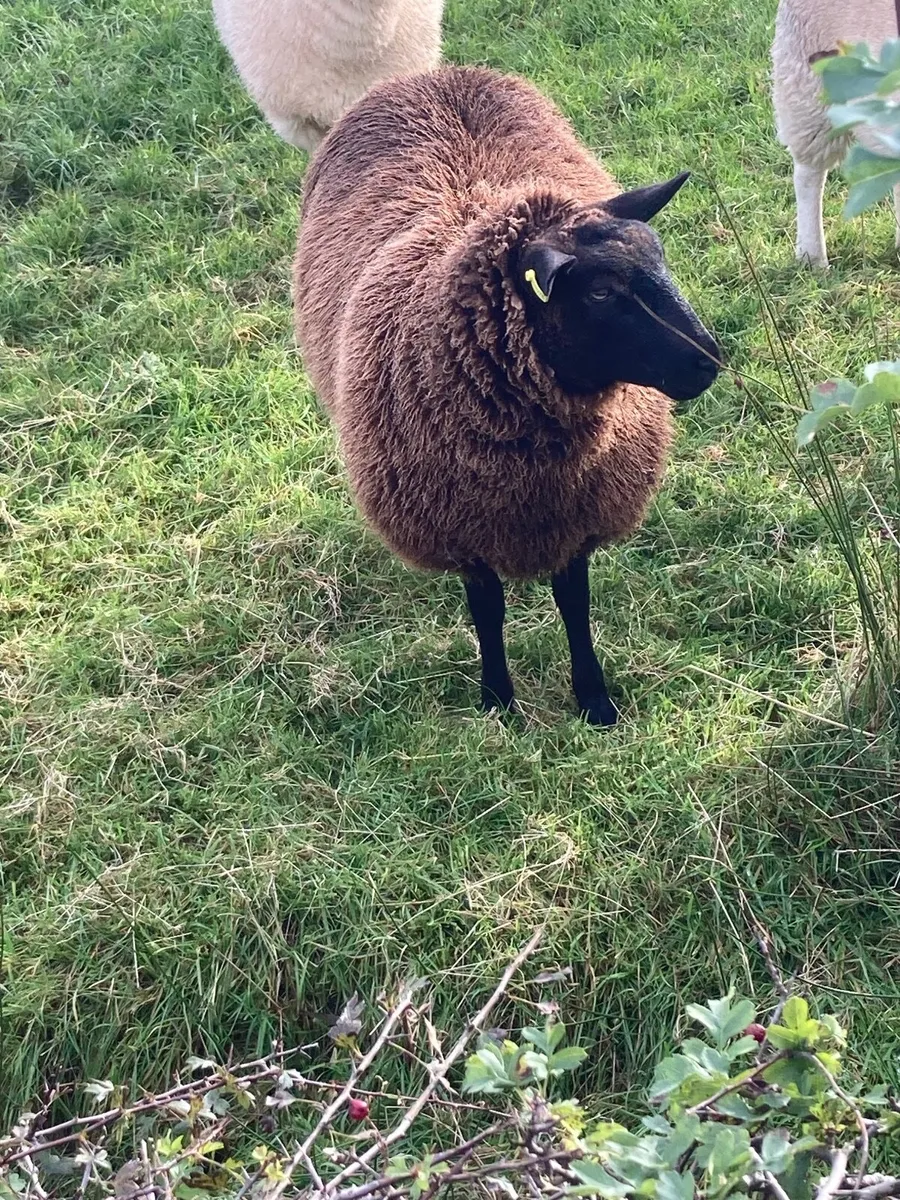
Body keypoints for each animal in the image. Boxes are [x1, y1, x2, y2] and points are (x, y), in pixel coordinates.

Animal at [293, 65, 720, 726]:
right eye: (600, 292)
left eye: (660, 258)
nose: (709, 360)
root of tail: (430, 76)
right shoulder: (461, 530)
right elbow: (487, 610)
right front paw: (497, 699)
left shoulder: (576, 514)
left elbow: (574, 602)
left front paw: (594, 700)